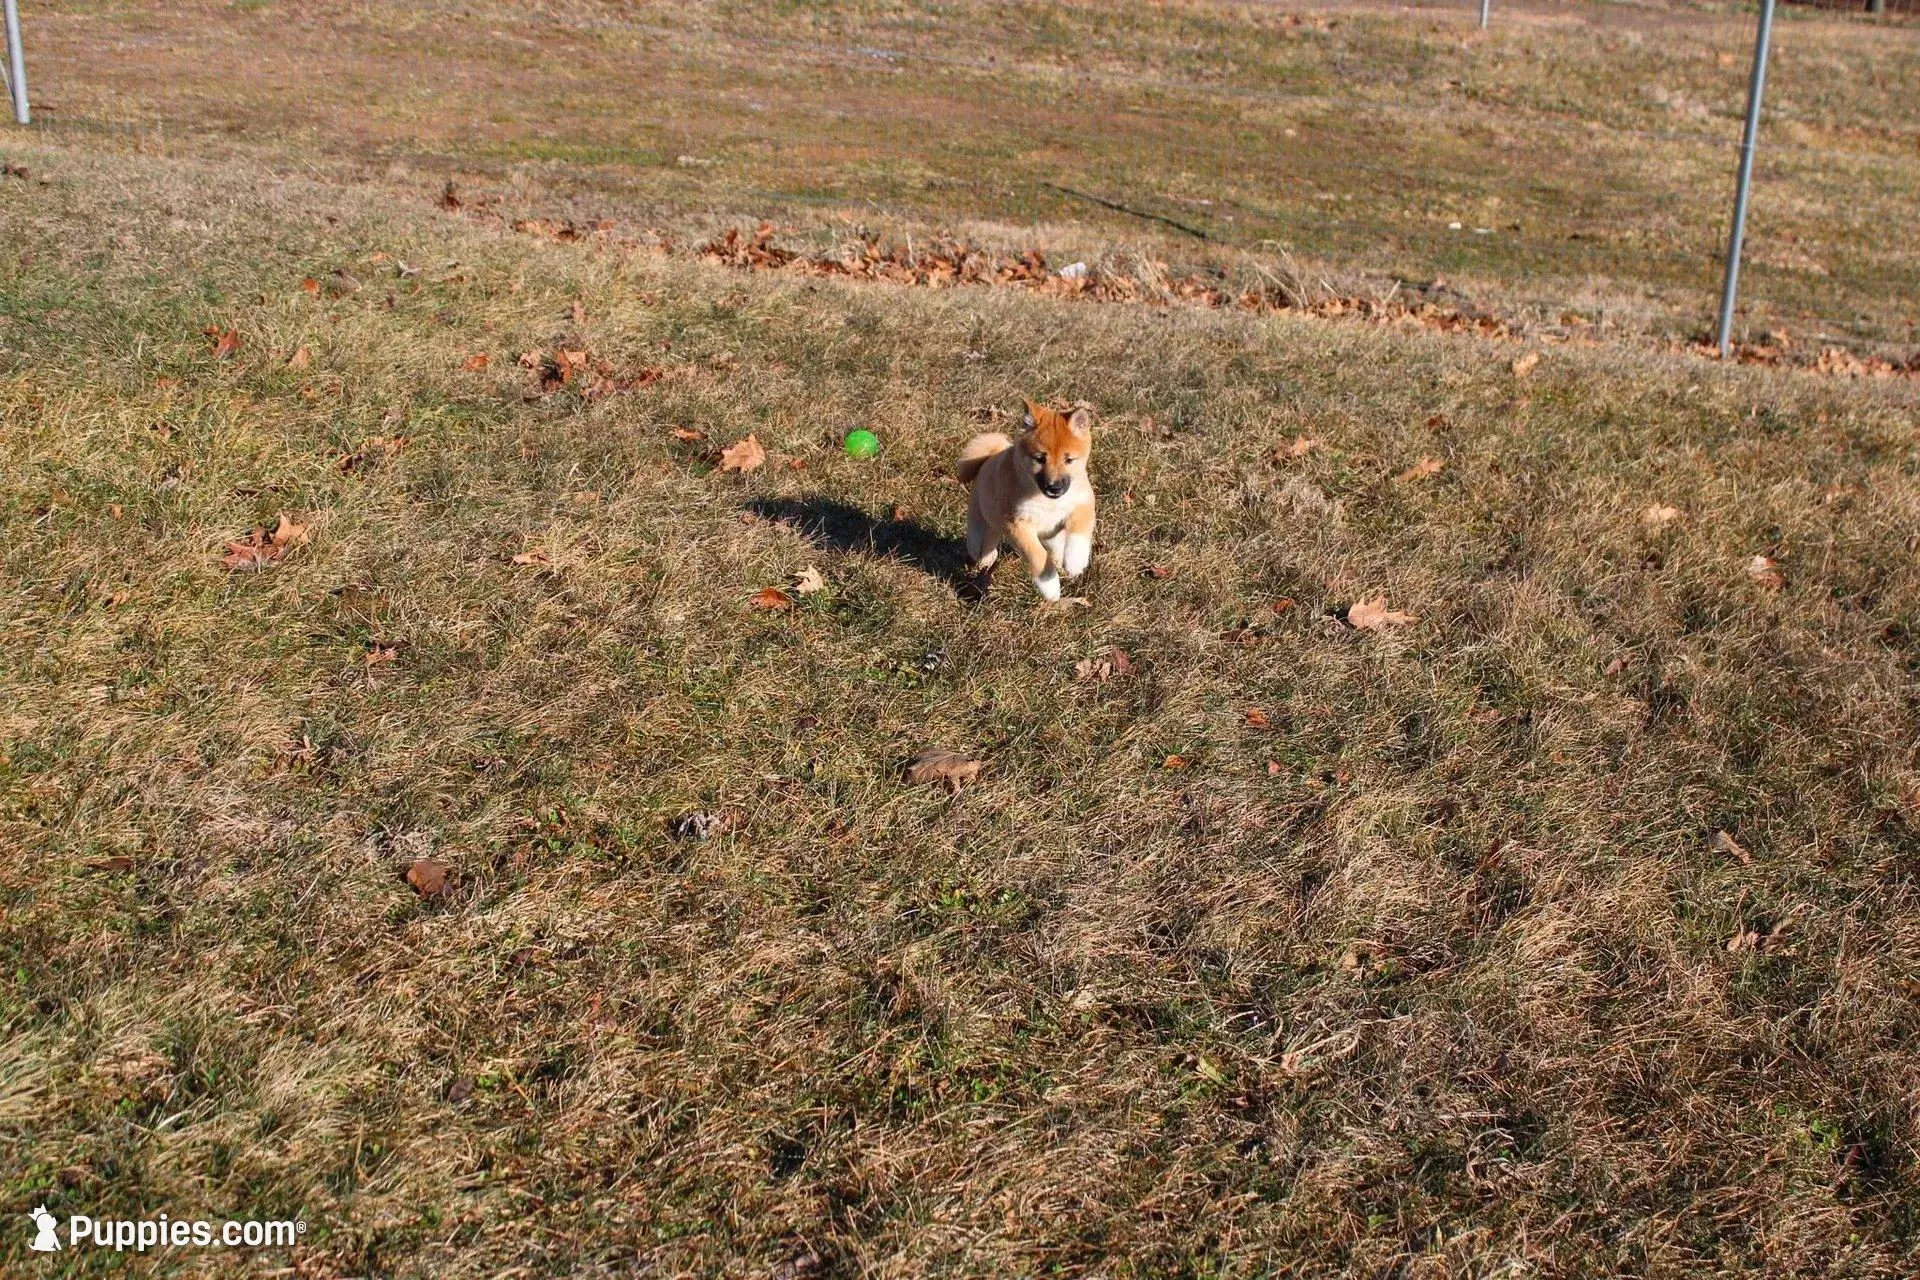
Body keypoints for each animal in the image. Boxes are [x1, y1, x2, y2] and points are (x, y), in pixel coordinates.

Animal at [955, 400, 1095, 601]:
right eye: (1039, 459)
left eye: (1069, 460)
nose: (1054, 488)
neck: (1046, 500)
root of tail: (988, 458)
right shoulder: (1016, 524)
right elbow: (1037, 554)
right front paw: (1050, 587)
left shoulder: (1083, 504)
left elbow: (1078, 535)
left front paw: (1076, 562)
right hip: (980, 531)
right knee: (983, 548)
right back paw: (984, 563)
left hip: (1052, 537)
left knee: (1055, 551)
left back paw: (1061, 566)